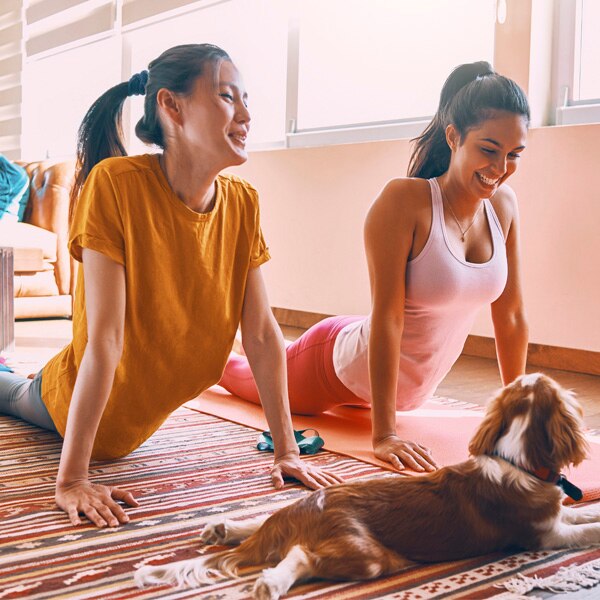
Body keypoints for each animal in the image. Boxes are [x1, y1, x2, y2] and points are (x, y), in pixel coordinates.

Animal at [134, 372, 596, 596]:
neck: (514, 456)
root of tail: (308, 509)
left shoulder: (556, 518)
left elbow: (584, 510)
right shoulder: (544, 535)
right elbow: (586, 529)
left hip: (304, 509)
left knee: (265, 522)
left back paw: (223, 528)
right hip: (370, 556)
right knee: (300, 555)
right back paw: (271, 583)